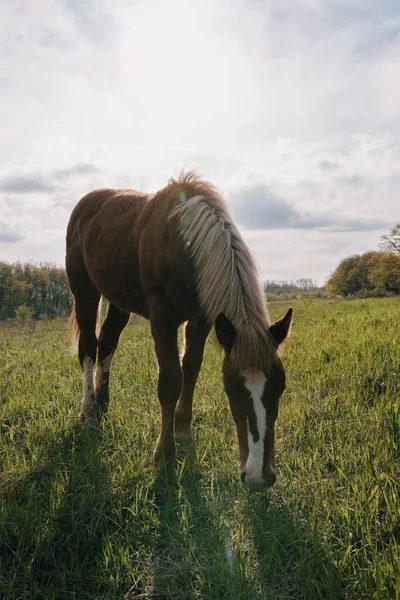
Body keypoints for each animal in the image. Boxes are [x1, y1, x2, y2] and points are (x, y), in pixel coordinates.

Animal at [65, 171, 290, 490]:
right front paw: (163, 453)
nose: (259, 477)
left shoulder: (203, 319)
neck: (185, 246)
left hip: (119, 301)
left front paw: (183, 429)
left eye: (280, 387)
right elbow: (170, 380)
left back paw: (102, 403)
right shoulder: (163, 317)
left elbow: (191, 369)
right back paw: (88, 412)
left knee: (107, 344)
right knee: (87, 347)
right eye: (231, 388)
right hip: (84, 291)